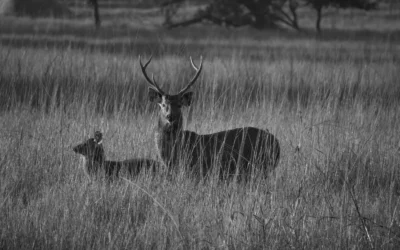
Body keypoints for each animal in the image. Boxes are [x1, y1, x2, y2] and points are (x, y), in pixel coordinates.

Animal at [141, 55, 282, 180]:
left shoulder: (197, 171)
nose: (170, 117)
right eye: (163, 105)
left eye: (180, 105)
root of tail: (277, 143)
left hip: (261, 166)